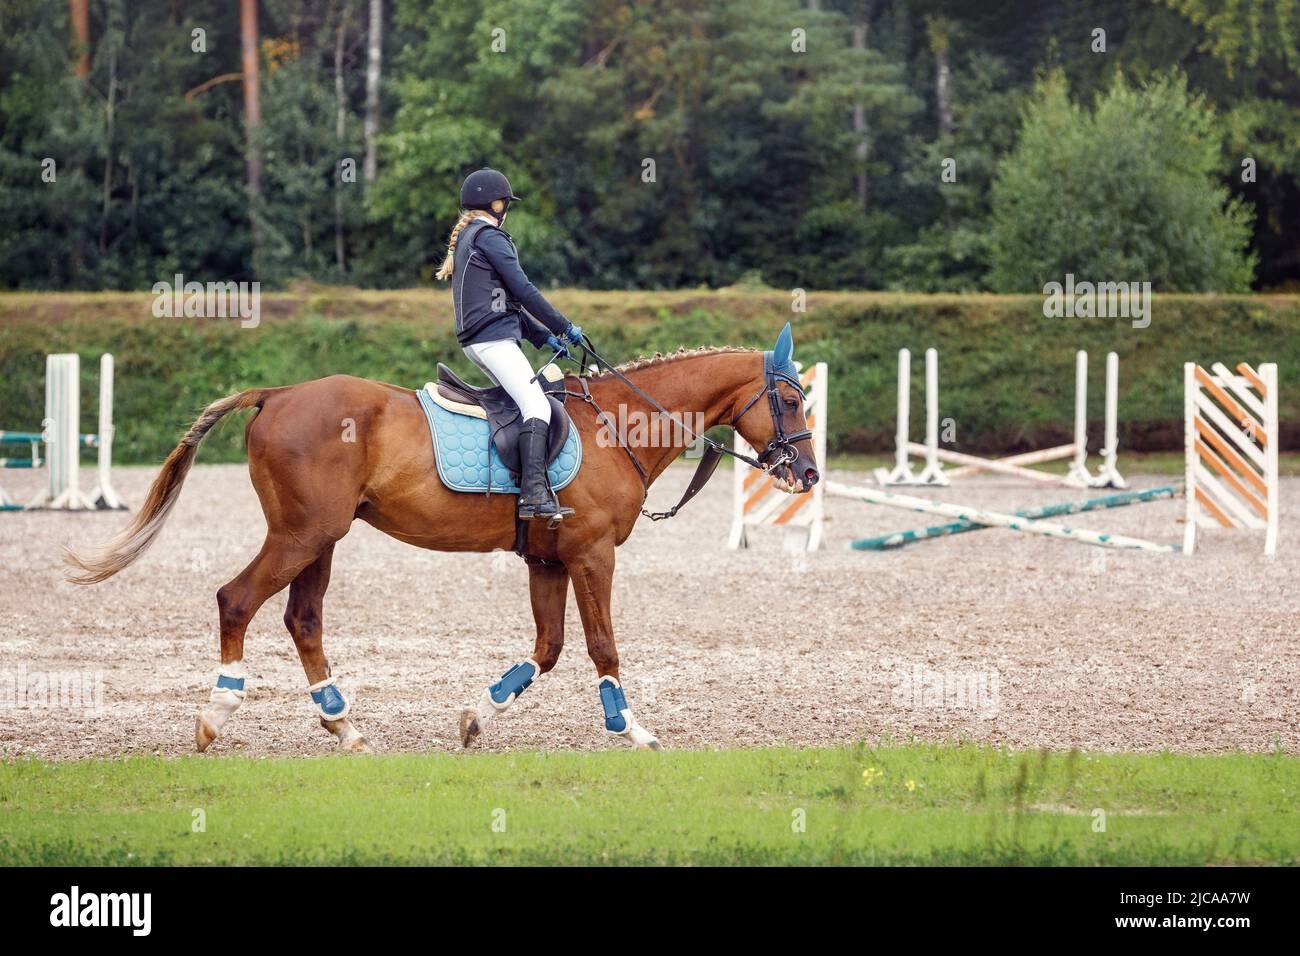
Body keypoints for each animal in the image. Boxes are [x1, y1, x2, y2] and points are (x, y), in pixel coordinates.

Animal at [65, 327, 816, 754]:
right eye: (789, 399)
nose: (807, 474)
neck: (617, 422)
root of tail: (276, 393)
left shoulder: (548, 559)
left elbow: (547, 649)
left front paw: (477, 718)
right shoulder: (592, 554)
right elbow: (601, 645)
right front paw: (633, 730)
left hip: (320, 540)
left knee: (302, 619)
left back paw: (343, 725)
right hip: (301, 535)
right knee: (236, 599)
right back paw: (217, 716)